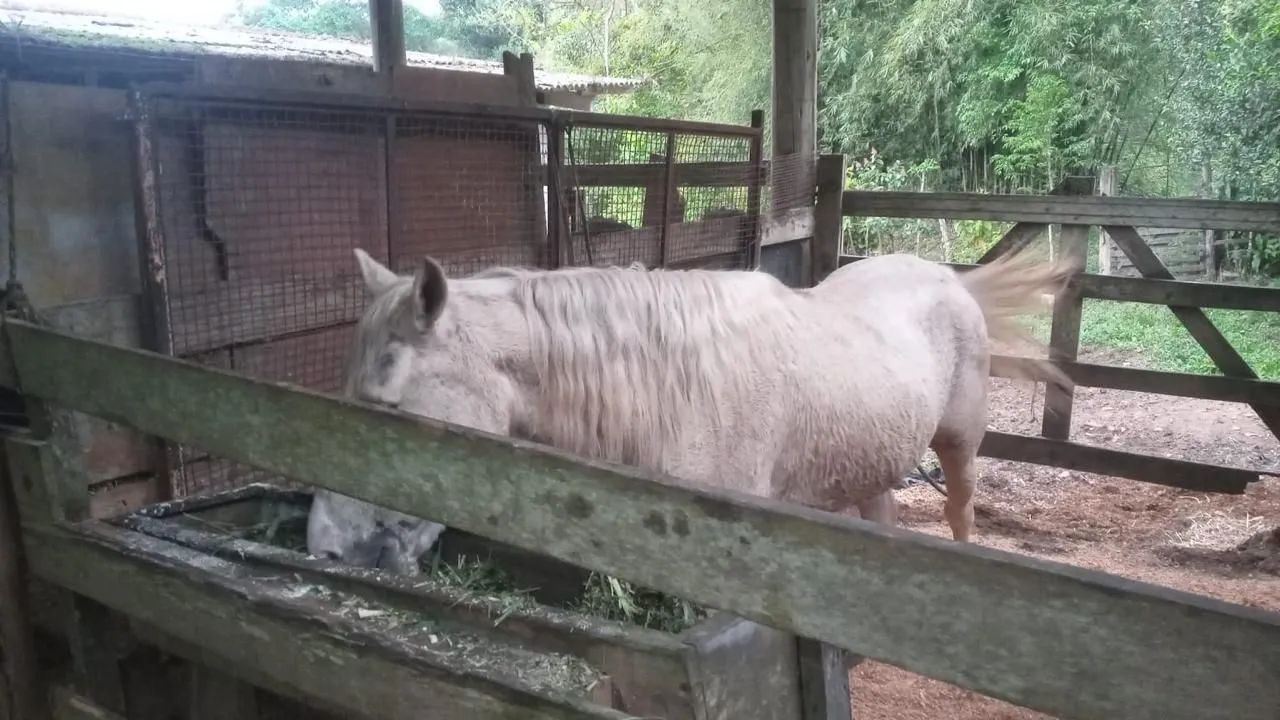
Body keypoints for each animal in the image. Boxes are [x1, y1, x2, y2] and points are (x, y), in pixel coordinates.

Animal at [305, 248, 1072, 574]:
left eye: (388, 408)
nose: (324, 548)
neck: (669, 389)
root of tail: (947, 277)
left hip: (960, 446)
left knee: (961, 513)